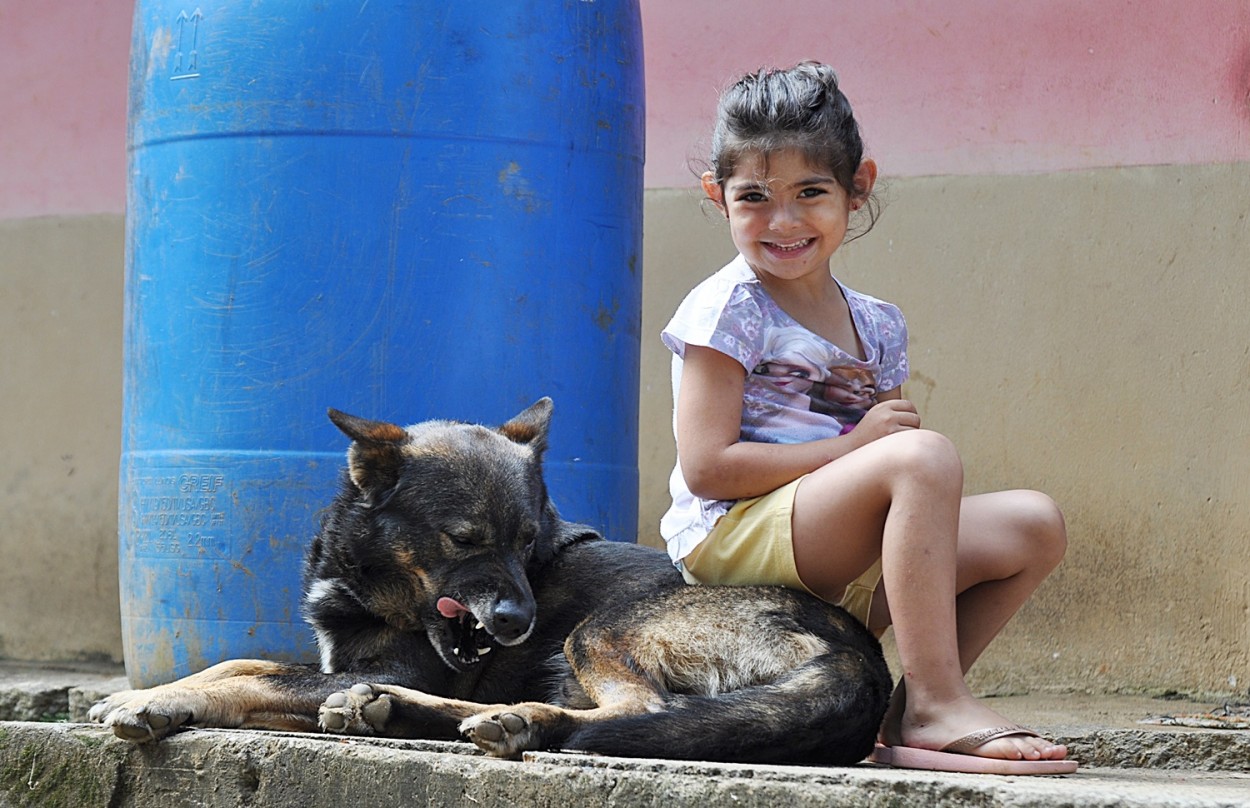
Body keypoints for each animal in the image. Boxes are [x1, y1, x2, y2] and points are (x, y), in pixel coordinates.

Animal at [90, 397, 890, 765]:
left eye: (528, 541)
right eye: (465, 539)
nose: (515, 623)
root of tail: (865, 659)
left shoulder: (388, 666)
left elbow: (253, 672)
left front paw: (157, 699)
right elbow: (244, 663)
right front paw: (148, 697)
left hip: (598, 631)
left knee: (641, 710)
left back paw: (508, 720)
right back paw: (409, 713)